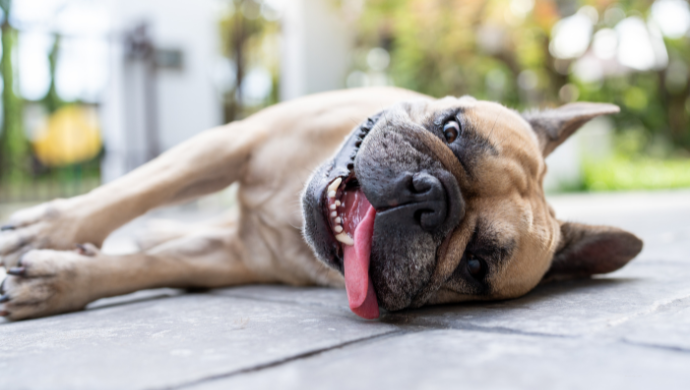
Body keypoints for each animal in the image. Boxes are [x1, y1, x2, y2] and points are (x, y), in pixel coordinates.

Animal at [0, 87, 640, 320]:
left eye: (476, 265)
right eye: (451, 129)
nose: (430, 195)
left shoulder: (228, 258)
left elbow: (143, 268)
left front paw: (60, 279)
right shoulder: (232, 141)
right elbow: (134, 190)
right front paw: (45, 233)